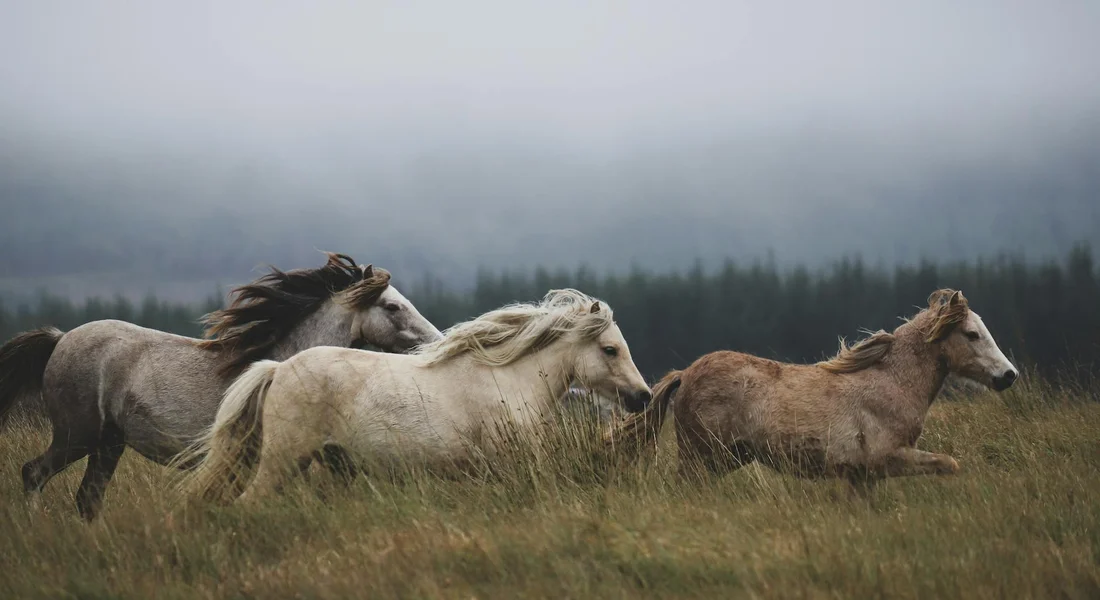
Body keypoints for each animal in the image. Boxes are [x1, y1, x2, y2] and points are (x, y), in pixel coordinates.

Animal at [0, 252, 443, 520]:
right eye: (392, 306)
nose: (435, 341)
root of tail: (61, 339)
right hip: (77, 434)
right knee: (34, 473)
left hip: (109, 443)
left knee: (87, 498)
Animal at [666, 289, 1018, 487]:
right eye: (972, 334)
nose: (1009, 375)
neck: (893, 383)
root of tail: (684, 374)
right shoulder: (887, 459)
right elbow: (949, 464)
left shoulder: (861, 477)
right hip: (702, 458)